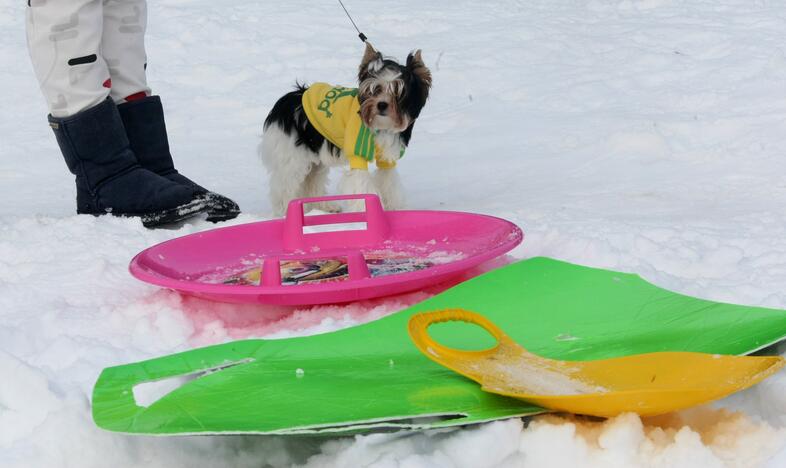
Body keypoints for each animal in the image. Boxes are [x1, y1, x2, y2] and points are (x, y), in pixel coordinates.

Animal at [260, 43, 432, 215]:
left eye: (398, 92)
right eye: (375, 90)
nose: (382, 105)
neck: (381, 126)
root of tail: (283, 103)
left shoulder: (386, 158)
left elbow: (389, 182)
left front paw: (397, 210)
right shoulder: (357, 150)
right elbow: (361, 185)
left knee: (313, 178)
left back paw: (322, 207)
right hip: (291, 153)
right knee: (285, 184)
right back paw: (284, 211)